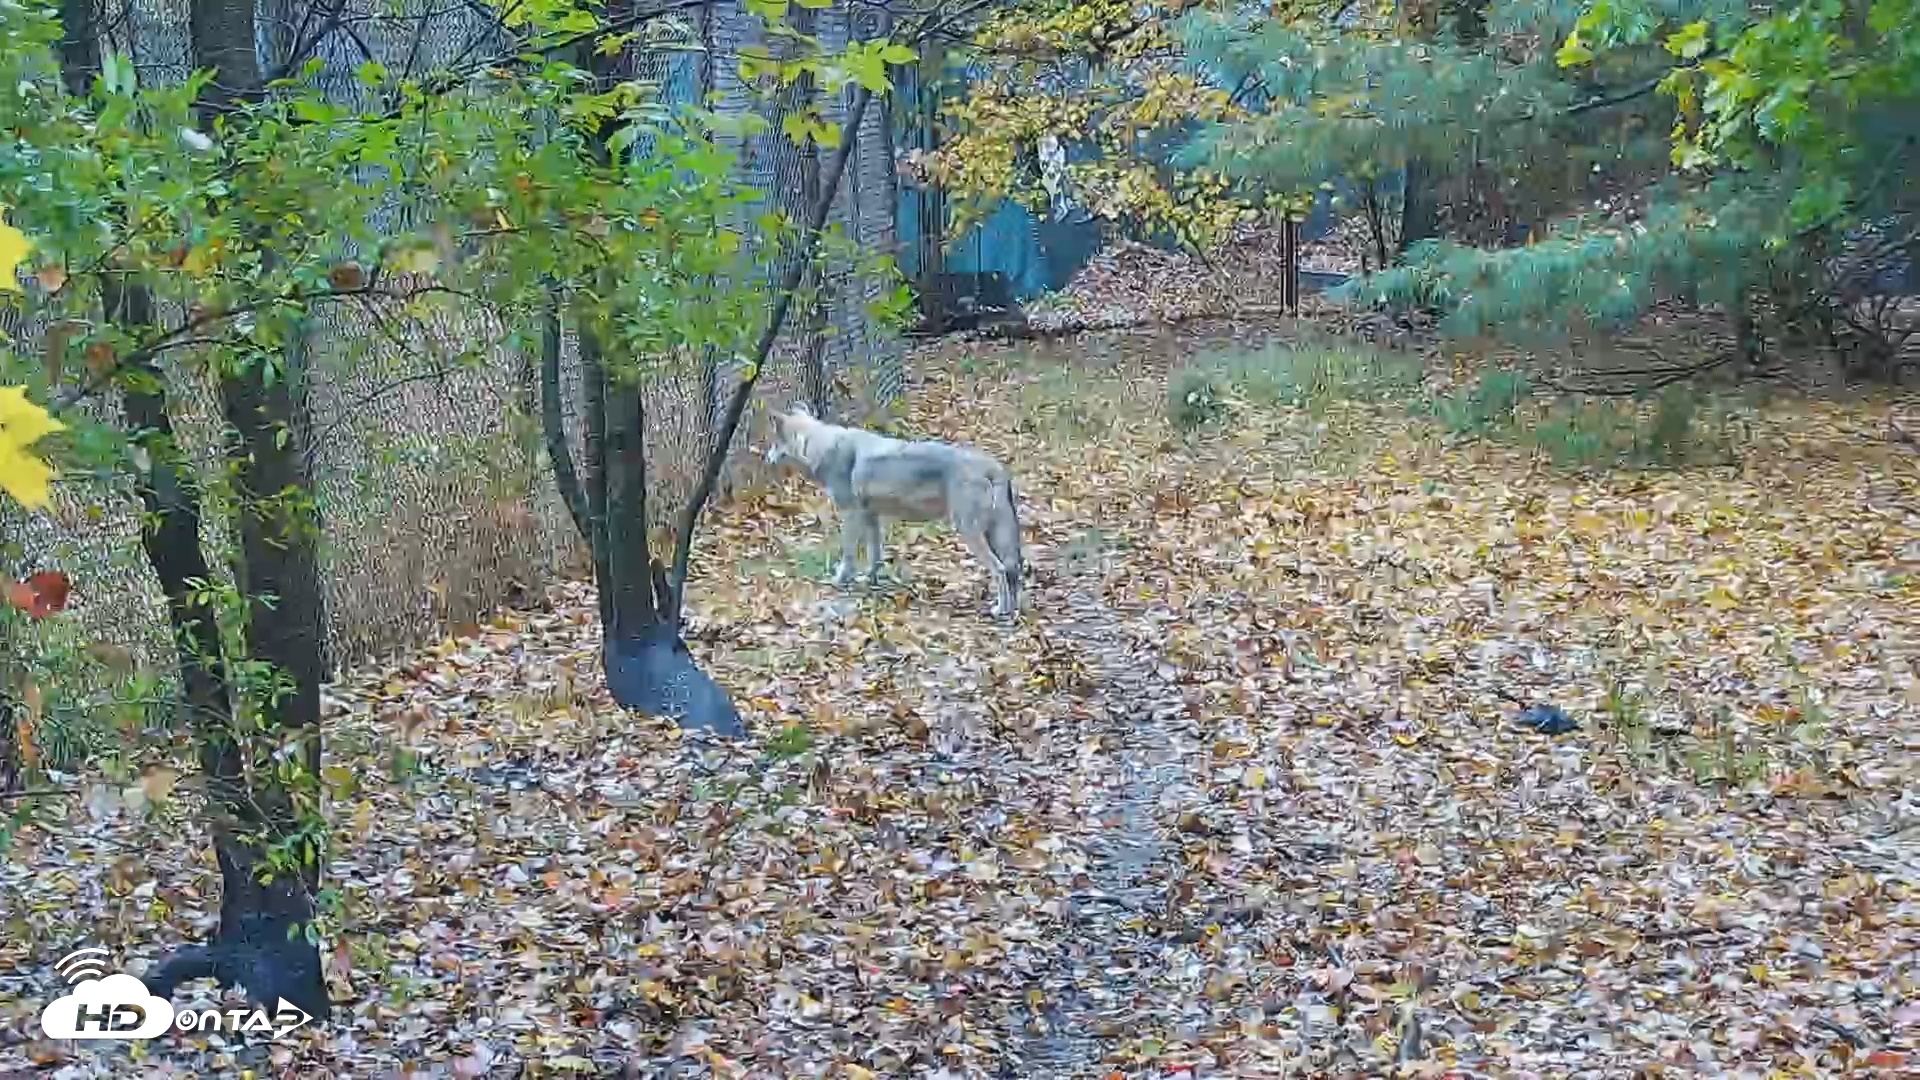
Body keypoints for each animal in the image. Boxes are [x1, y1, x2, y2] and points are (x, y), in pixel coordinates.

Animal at [764, 404, 1024, 618]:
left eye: (774, 444)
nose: (765, 458)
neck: (821, 446)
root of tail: (994, 466)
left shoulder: (851, 515)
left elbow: (848, 556)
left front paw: (840, 580)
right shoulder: (871, 517)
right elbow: (875, 555)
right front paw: (870, 580)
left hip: (969, 531)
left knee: (1000, 570)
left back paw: (1001, 610)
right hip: (992, 534)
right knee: (1012, 569)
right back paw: (1012, 609)